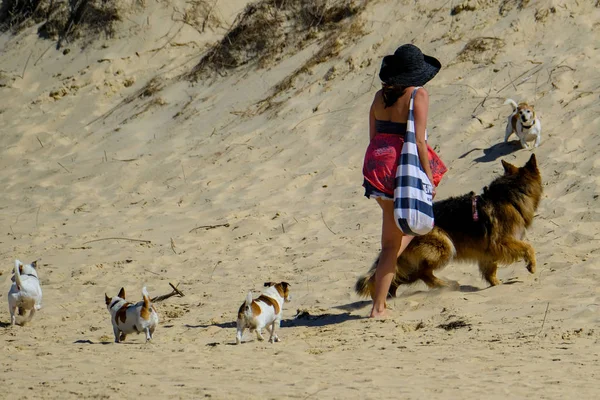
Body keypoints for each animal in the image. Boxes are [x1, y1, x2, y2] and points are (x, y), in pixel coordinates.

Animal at [356, 155, 544, 298]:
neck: (508, 196)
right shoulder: (502, 242)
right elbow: (528, 247)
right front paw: (532, 265)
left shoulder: (488, 251)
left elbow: (490, 270)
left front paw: (495, 283)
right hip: (444, 248)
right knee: (421, 273)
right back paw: (446, 284)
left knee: (405, 274)